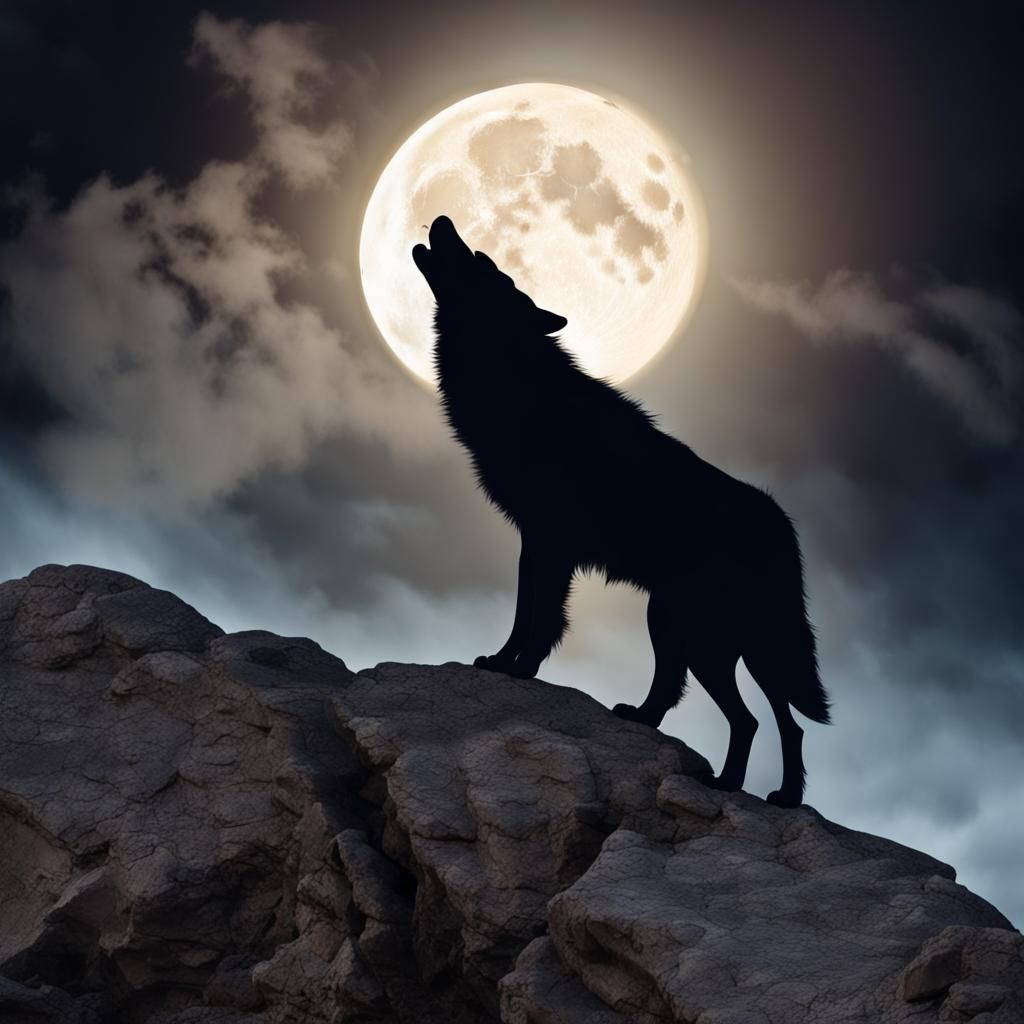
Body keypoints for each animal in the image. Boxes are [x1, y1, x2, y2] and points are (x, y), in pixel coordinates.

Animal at [412, 216, 831, 807]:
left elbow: (538, 618)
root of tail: (780, 522)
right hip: (703, 635)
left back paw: (736, 785)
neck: (516, 389)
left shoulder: (549, 545)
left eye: (480, 261)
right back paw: (754, 785)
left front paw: (518, 669)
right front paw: (505, 663)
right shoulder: (534, 544)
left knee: (755, 719)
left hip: (703, 637)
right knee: (763, 719)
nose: (443, 220)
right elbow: (525, 614)